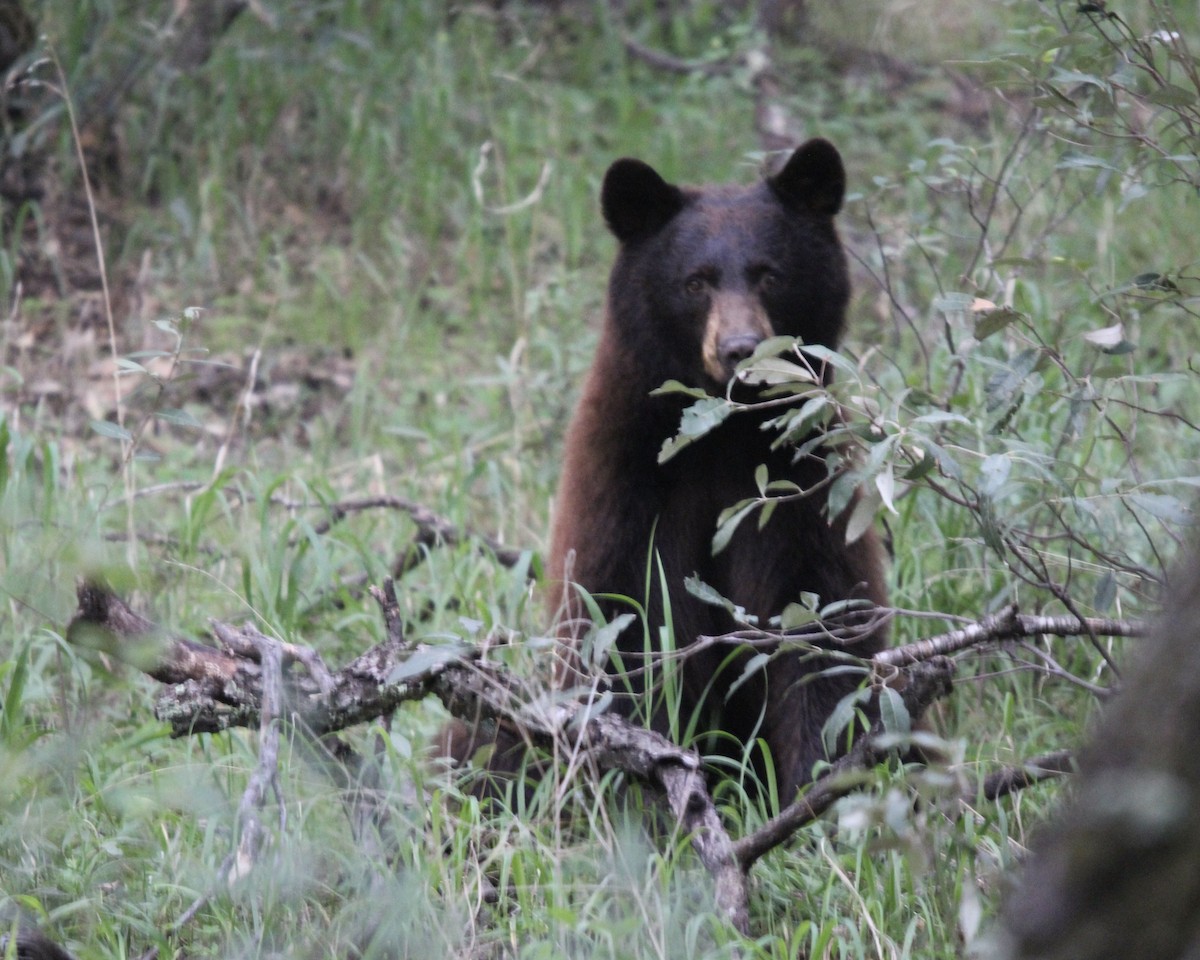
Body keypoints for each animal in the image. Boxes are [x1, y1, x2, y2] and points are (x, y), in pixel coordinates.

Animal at [544, 138, 888, 802]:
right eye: (695, 282)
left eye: (770, 274)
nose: (740, 350)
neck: (720, 435)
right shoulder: (627, 484)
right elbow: (628, 629)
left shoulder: (802, 484)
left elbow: (817, 624)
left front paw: (814, 786)